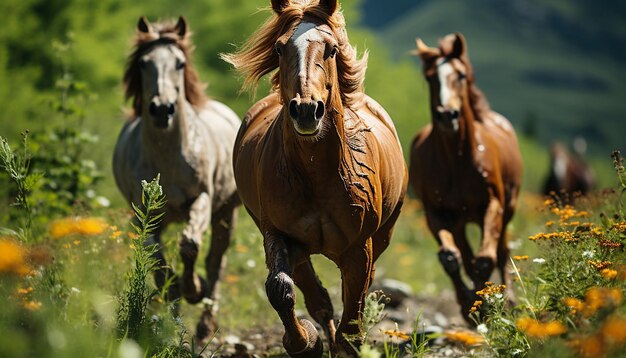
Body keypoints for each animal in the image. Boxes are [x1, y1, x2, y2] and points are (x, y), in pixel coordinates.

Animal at [112, 16, 239, 344]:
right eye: (144, 63)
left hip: (225, 212)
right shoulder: (143, 215)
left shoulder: (202, 200)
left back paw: (205, 326)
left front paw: (194, 288)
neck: (168, 155)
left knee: (216, 262)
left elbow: (190, 245)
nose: (161, 109)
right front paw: (176, 297)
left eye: (180, 63)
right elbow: (159, 266)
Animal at [222, 0, 408, 356]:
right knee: (317, 298)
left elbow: (353, 317)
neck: (318, 173)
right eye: (280, 48)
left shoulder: (359, 249)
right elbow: (281, 289)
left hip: (382, 236)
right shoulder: (278, 234)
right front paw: (305, 343)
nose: (307, 110)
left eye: (331, 49)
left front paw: (341, 343)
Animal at [410, 33, 520, 322]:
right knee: (465, 254)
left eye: (460, 75)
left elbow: (485, 260)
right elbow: (450, 258)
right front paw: (470, 305)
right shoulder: (435, 213)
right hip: (459, 222)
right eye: (430, 77)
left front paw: (484, 304)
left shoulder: (493, 206)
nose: (447, 115)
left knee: (502, 252)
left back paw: (510, 298)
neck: (457, 161)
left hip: (507, 211)